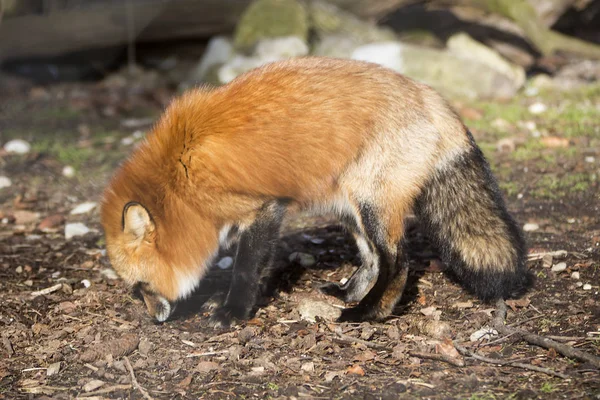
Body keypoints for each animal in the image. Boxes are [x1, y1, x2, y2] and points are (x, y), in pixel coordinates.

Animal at [99, 56, 536, 326]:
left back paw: (368, 313)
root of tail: (428, 93)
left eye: (140, 288)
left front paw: (233, 312)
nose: (154, 319)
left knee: (398, 262)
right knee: (372, 258)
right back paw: (347, 294)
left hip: (371, 202)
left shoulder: (263, 208)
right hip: (347, 204)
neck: (178, 175)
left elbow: (245, 268)